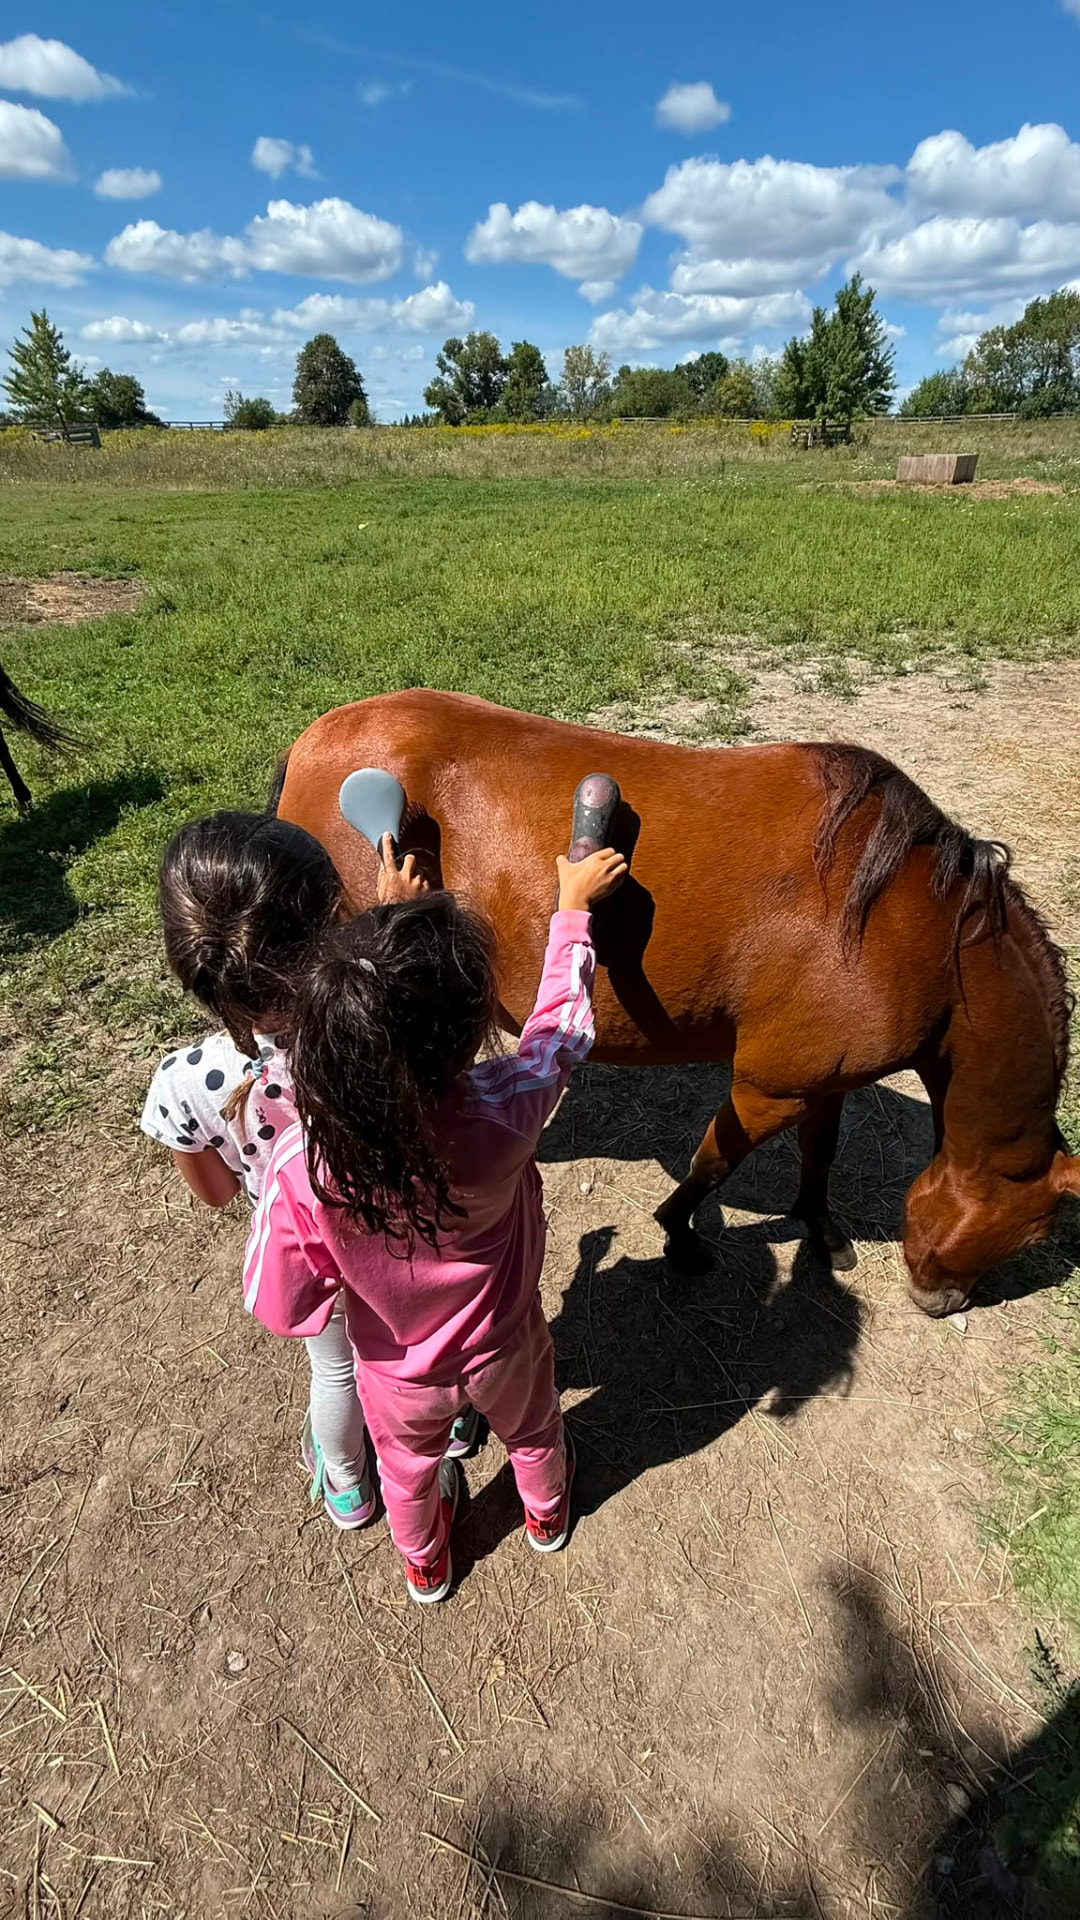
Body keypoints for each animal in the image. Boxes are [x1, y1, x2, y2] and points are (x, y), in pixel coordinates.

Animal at [274, 688, 1077, 1318]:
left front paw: (819, 1227)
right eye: (1037, 1232)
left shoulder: (823, 1081)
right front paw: (681, 1235)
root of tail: (313, 738)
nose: (947, 1301)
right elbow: (713, 1162)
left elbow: (819, 1156)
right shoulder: (769, 1089)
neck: (906, 922)